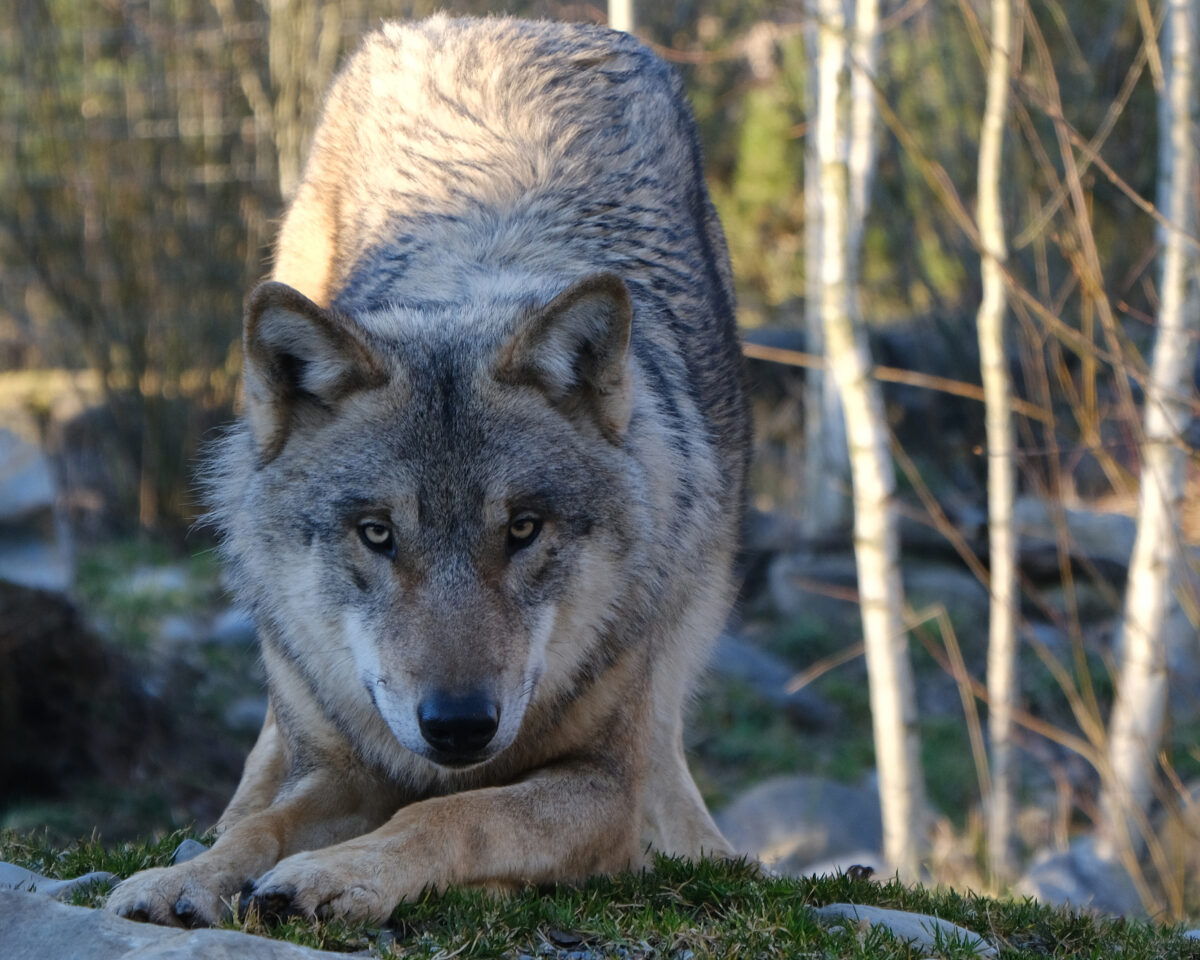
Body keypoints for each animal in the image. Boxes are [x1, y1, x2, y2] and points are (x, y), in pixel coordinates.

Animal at [107, 14, 750, 927]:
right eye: (377, 533)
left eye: (523, 529)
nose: (458, 724)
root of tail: (513, 23)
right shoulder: (348, 764)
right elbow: (268, 827)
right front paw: (191, 875)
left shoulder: (602, 787)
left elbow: (453, 814)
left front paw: (342, 873)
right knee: (269, 746)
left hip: (707, 564)